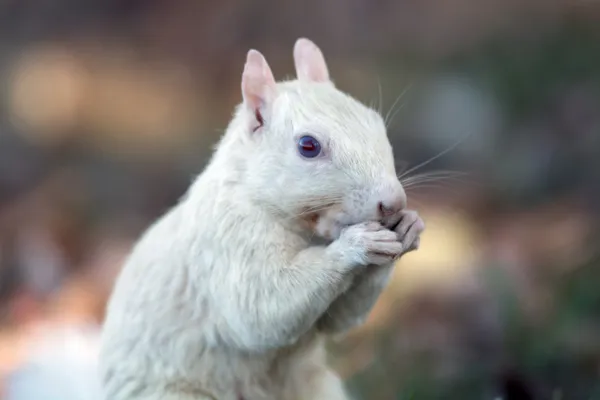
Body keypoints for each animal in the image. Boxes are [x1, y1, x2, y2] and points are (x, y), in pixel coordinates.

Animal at [98, 38, 424, 400]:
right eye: (308, 146)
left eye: (376, 122)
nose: (393, 202)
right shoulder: (227, 240)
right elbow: (260, 309)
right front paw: (357, 245)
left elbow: (339, 320)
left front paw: (409, 226)